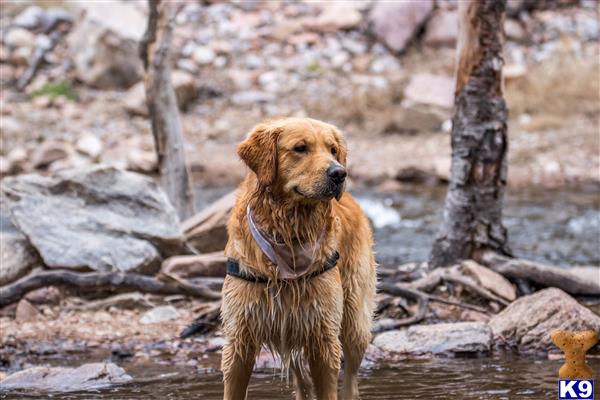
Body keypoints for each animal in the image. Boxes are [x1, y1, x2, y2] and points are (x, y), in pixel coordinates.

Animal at [220, 117, 378, 398]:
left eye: (332, 150)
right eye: (300, 148)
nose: (340, 173)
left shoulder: (323, 336)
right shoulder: (240, 337)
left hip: (354, 320)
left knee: (351, 377)